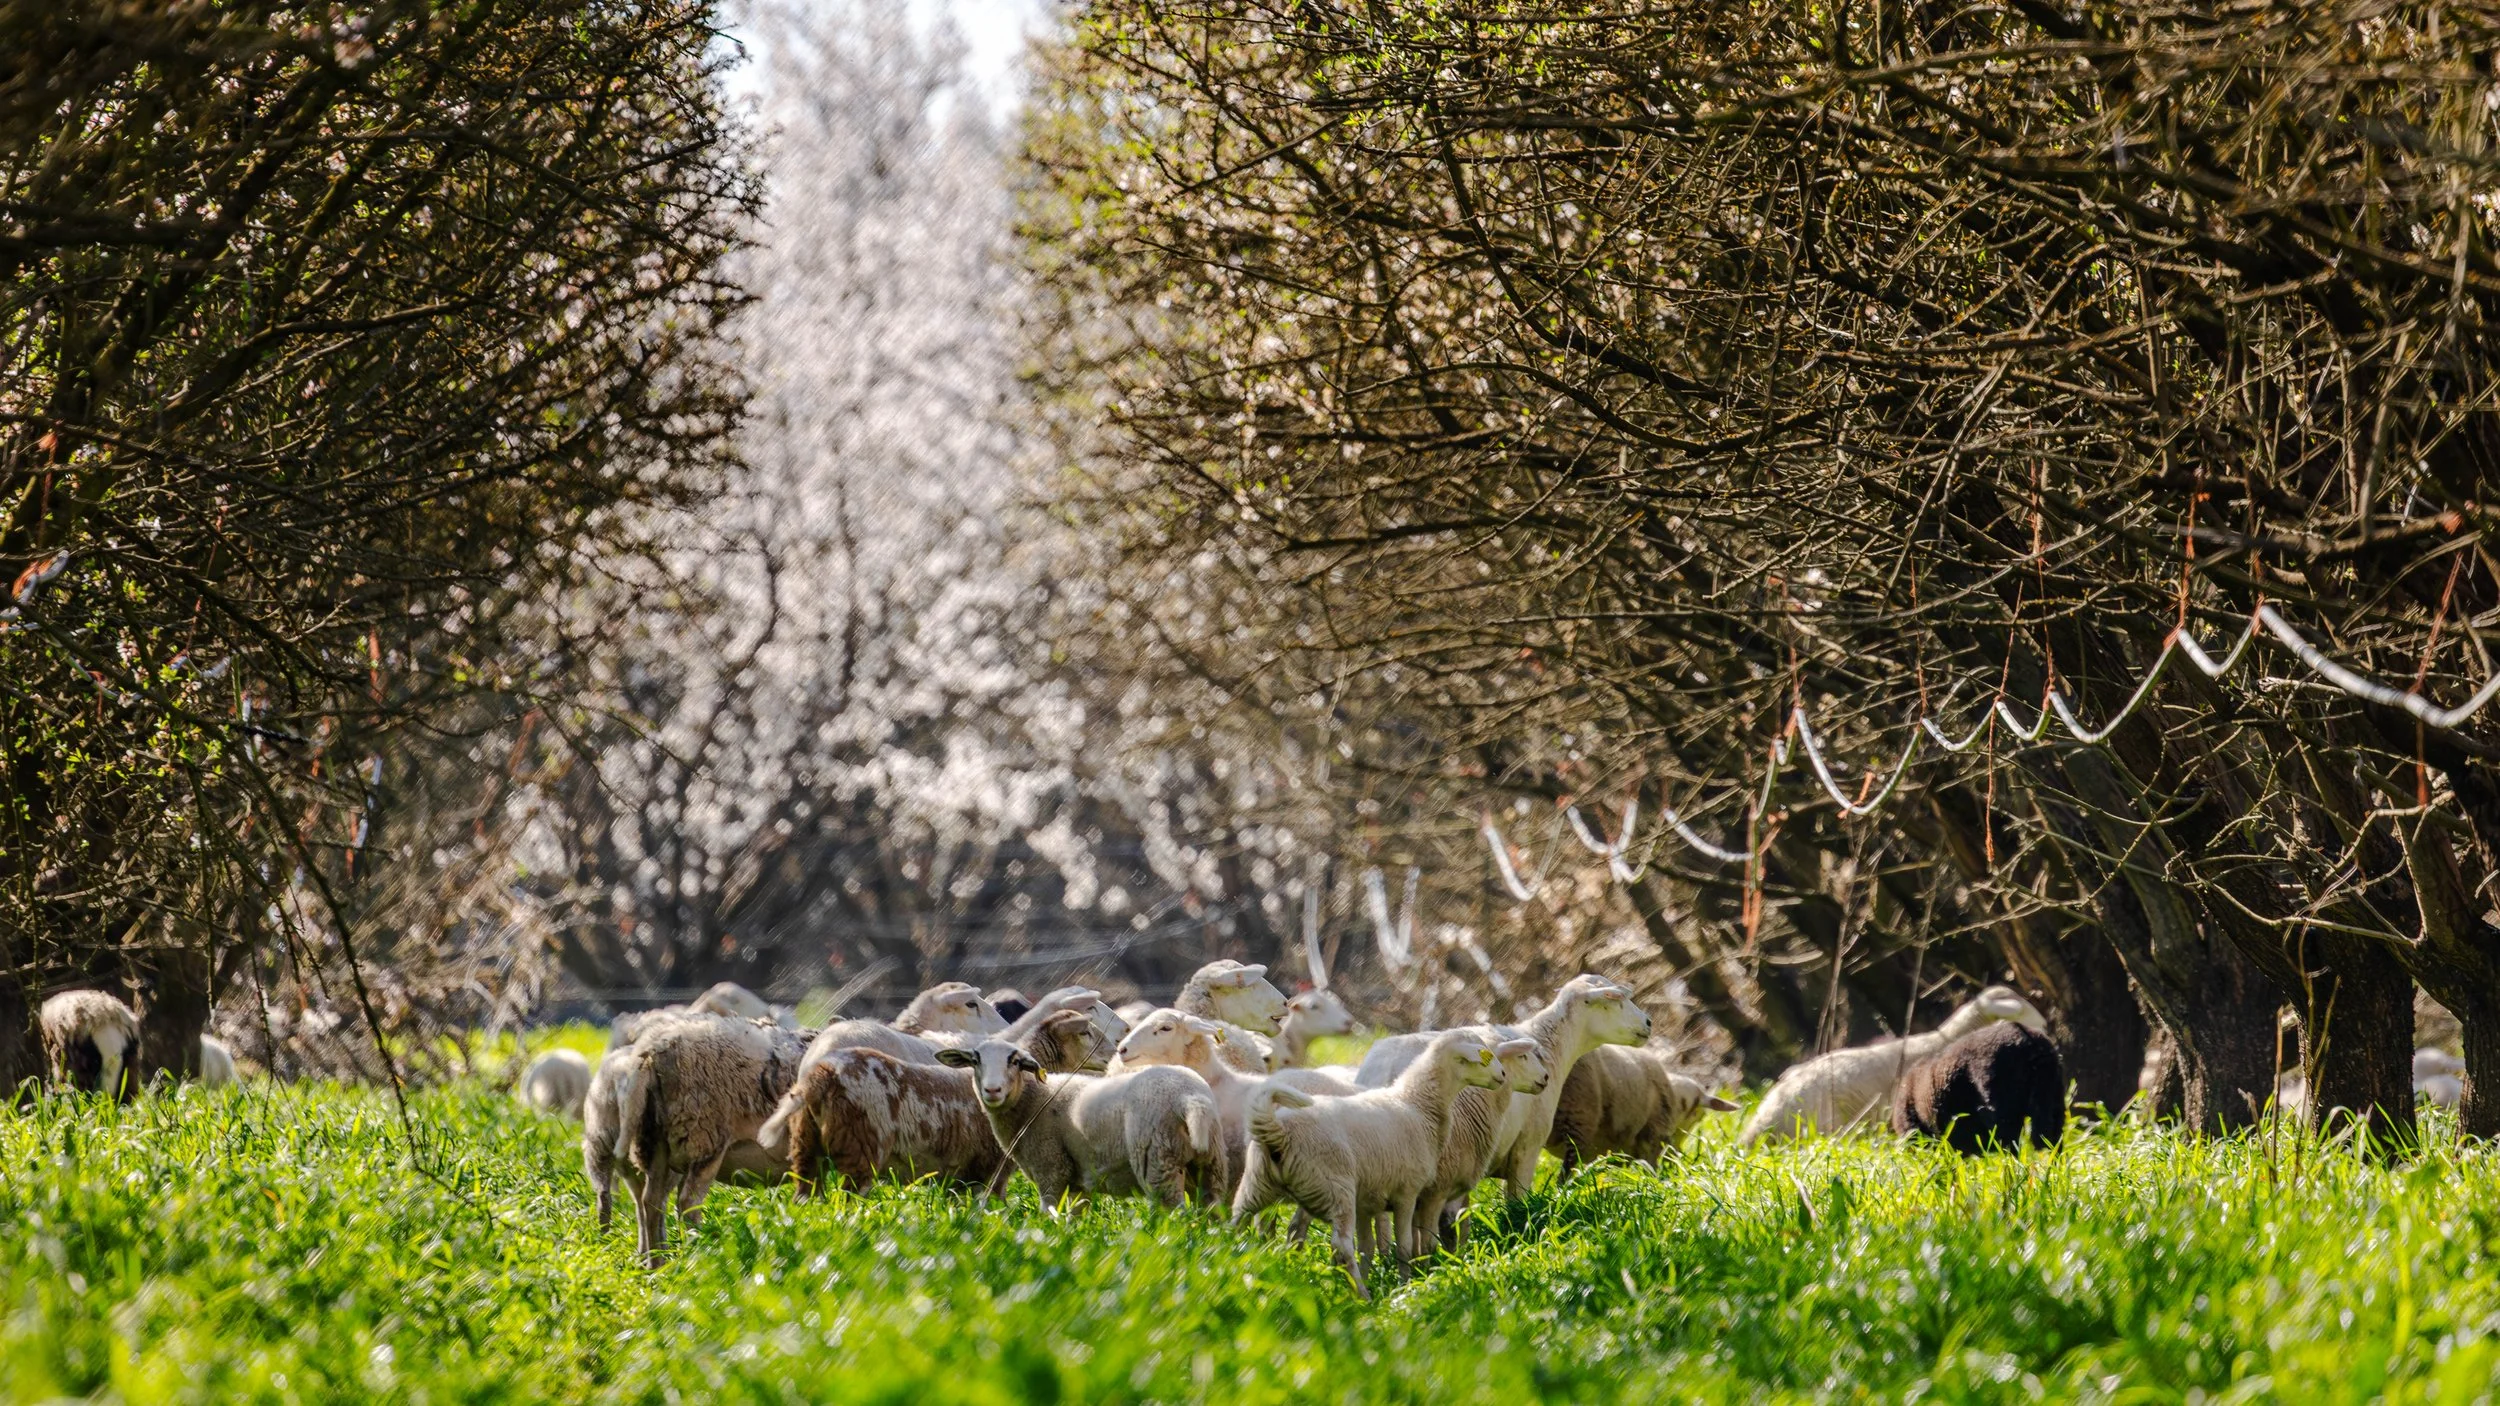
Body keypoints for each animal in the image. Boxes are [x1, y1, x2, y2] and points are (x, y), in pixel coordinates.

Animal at [614, 1015, 811, 1264]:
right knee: (687, 1203)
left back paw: (658, 1262)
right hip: (706, 1137)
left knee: (651, 1201)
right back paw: (699, 1252)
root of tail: (651, 1053)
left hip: (656, 1140)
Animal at [935, 1036, 1226, 1212]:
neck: (1033, 1101)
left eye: (1015, 1061)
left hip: (1157, 1163)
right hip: (1210, 1167)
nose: (992, 1090)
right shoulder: (1078, 1183)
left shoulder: (1051, 1169)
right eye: (975, 1061)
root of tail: (1190, 1098)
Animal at [1231, 1028, 1508, 1298]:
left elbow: (1367, 1246)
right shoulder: (1407, 1193)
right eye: (1483, 1057)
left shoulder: (1366, 1201)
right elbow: (1405, 1246)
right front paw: (1404, 1287)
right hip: (1337, 1190)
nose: (1503, 1075)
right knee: (1341, 1246)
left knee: (1234, 1223)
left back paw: (1229, 1264)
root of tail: (1278, 1131)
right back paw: (1362, 1297)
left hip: (1256, 1184)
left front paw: (1373, 1280)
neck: (1416, 1104)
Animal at [1546, 1046, 1739, 1180]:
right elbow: (1651, 1171)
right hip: (1579, 1119)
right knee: (1565, 1174)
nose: (1676, 1152)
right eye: (1697, 1114)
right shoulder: (1652, 1138)